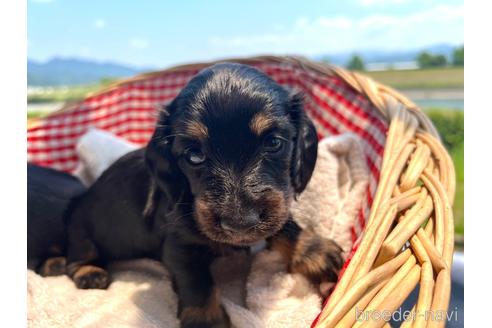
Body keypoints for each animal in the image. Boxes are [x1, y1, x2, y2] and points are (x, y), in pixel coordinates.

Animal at [64, 62, 342, 326]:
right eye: (194, 155)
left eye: (274, 143)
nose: (241, 224)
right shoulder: (179, 246)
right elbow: (196, 282)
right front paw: (206, 320)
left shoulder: (277, 208)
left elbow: (285, 224)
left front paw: (313, 249)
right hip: (82, 233)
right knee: (76, 258)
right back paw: (90, 272)